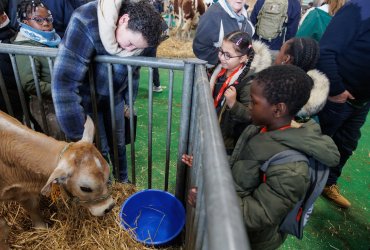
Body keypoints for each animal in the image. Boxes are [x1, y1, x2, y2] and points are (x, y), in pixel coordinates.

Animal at [0, 111, 115, 246]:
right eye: (85, 188)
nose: (109, 207)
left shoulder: (23, 192)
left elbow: (33, 208)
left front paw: (42, 232)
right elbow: (4, 228)